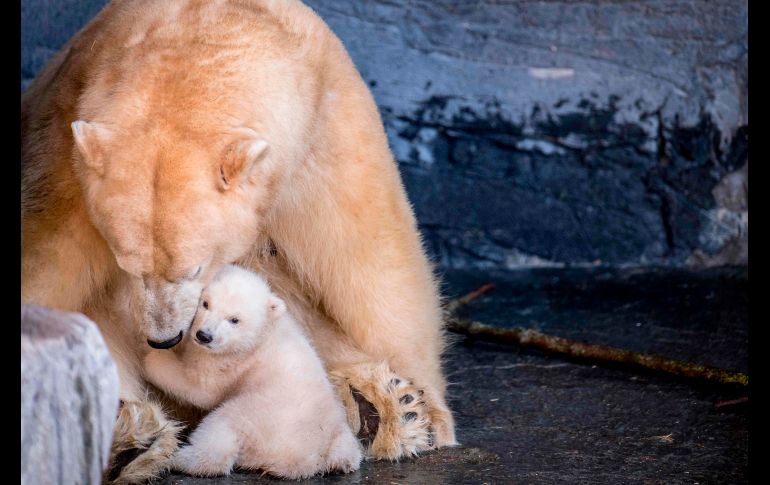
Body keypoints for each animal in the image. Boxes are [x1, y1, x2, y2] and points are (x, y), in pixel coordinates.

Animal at [142, 265, 363, 479]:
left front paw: (151, 357)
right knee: (347, 451)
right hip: (340, 431)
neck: (263, 332)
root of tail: (302, 461)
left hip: (258, 417)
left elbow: (200, 388)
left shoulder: (231, 361)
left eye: (234, 319)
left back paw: (178, 458)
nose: (204, 335)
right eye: (205, 304)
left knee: (220, 428)